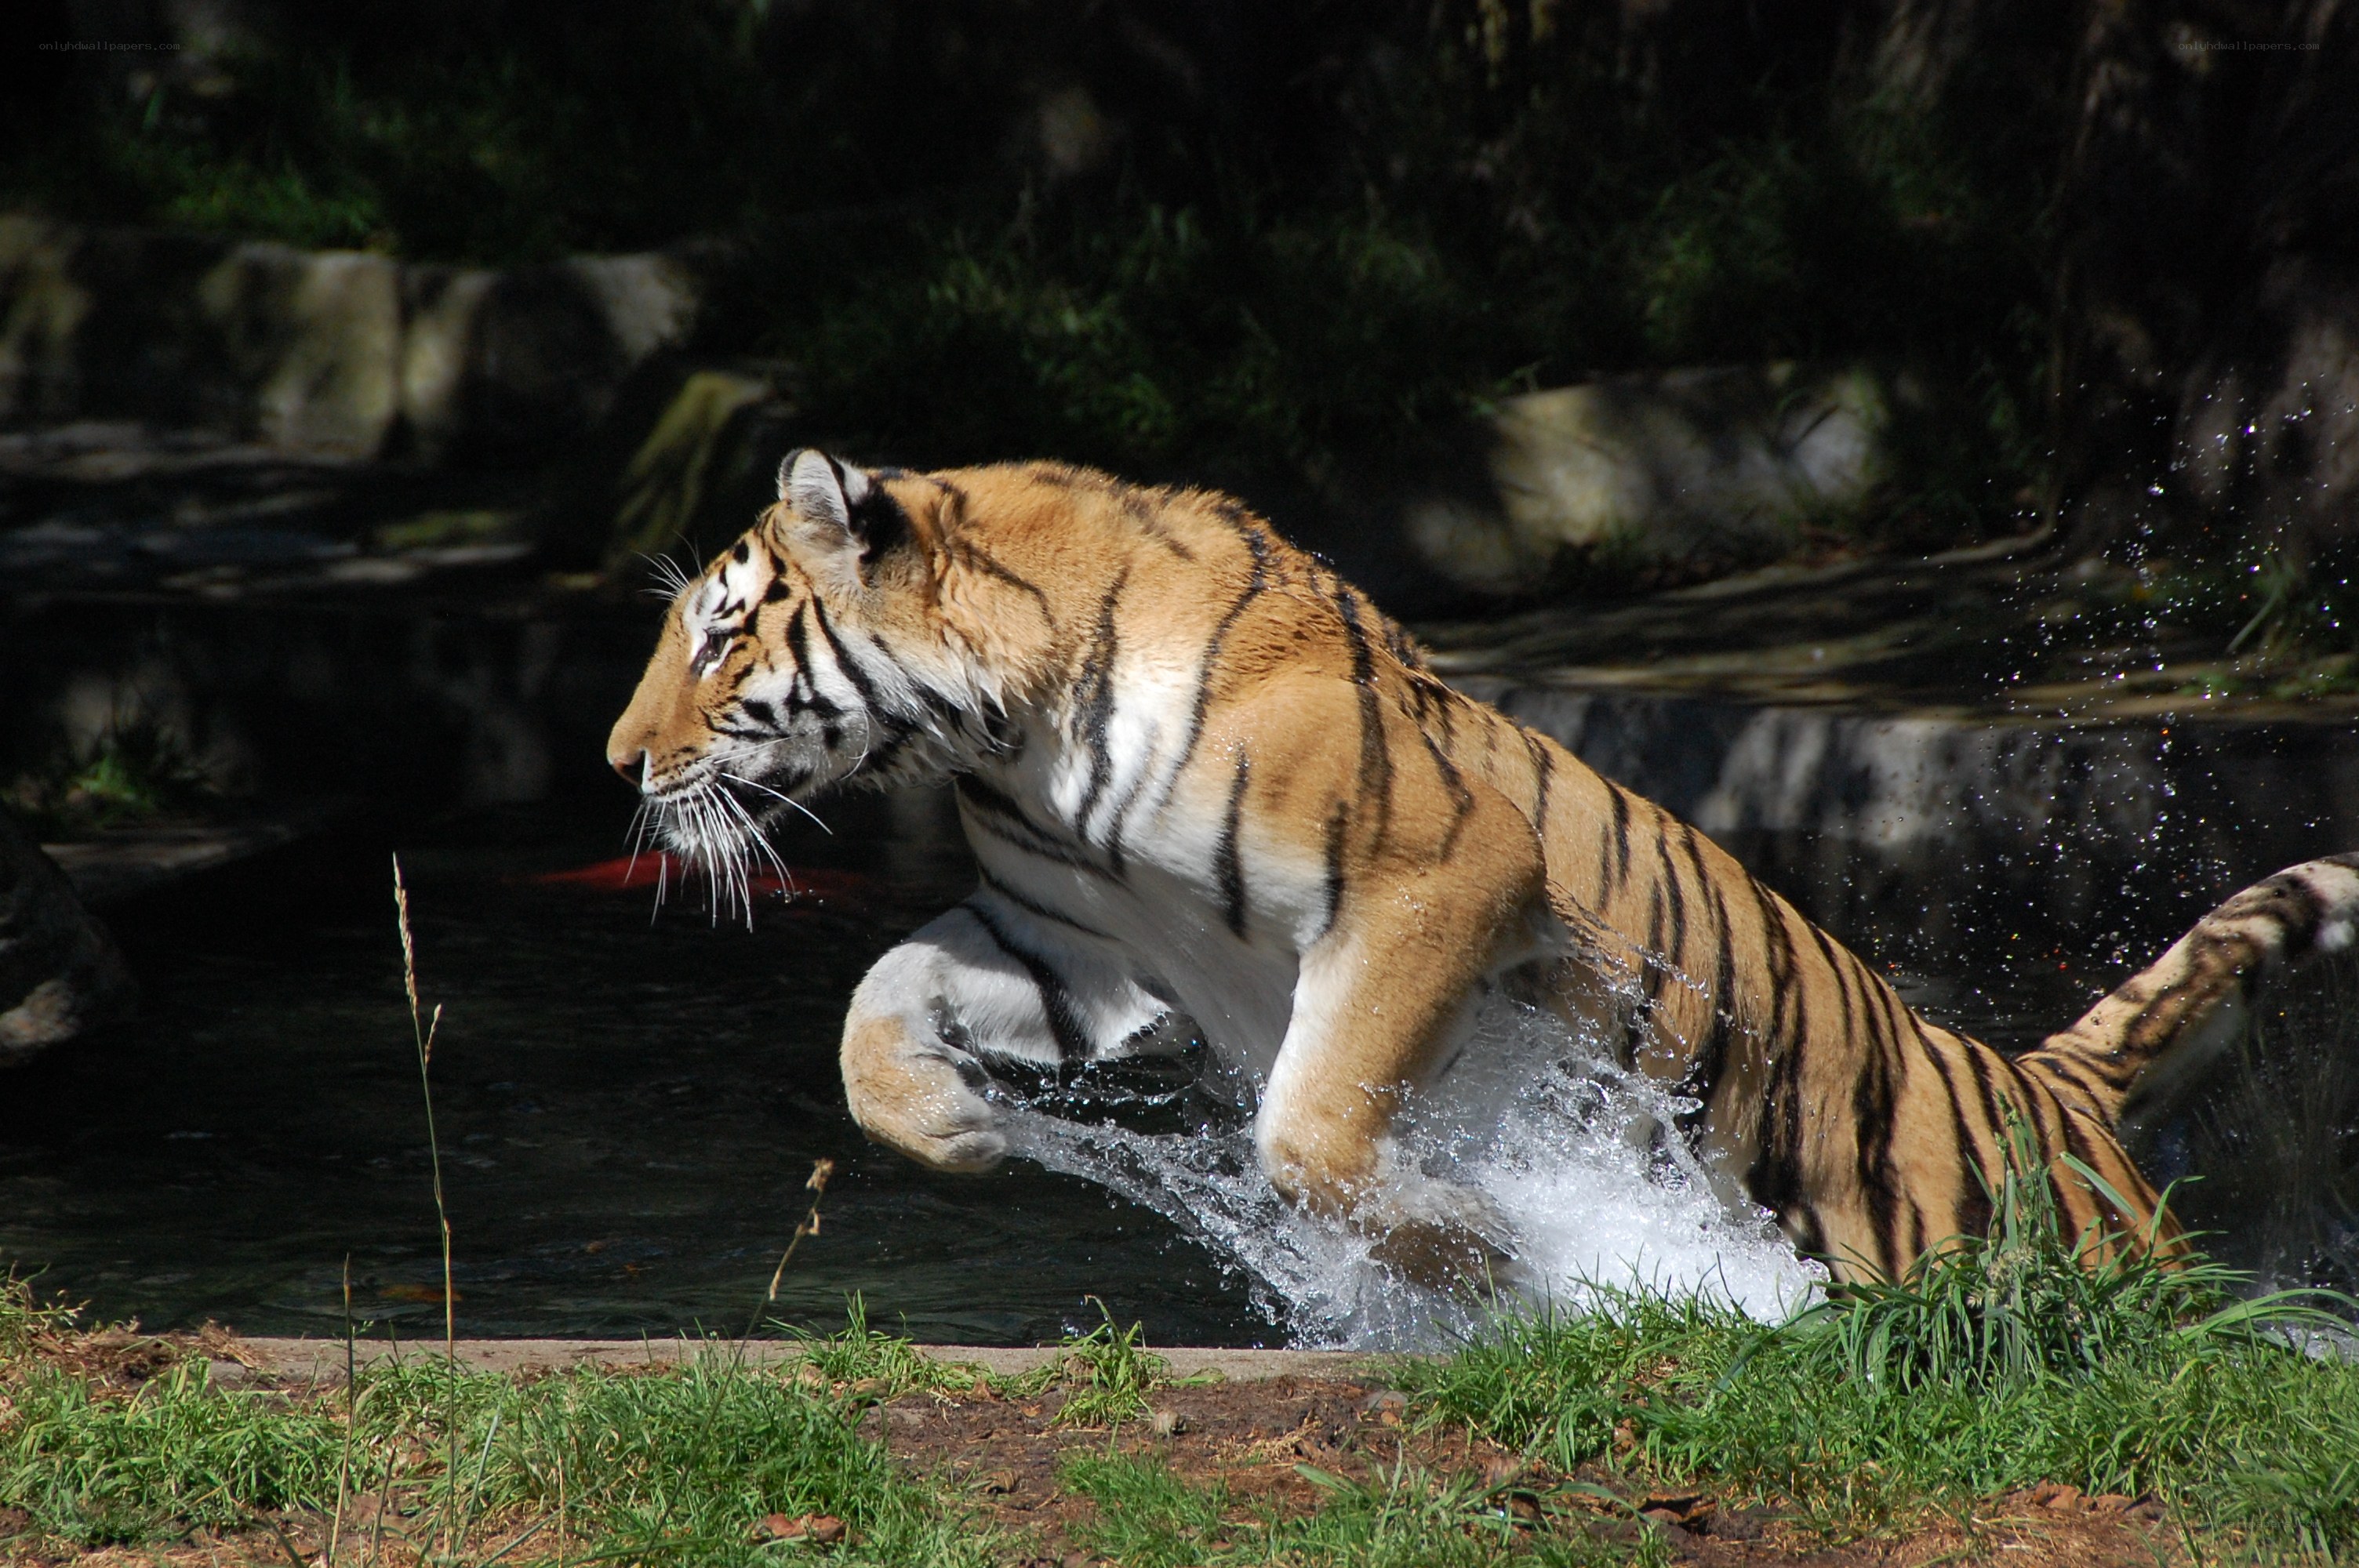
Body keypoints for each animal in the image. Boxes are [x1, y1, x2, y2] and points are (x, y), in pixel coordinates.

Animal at [606, 449, 2359, 1287]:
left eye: (719, 634)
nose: (620, 763)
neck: (1007, 731)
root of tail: (2046, 1083)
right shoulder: (1072, 939)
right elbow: (870, 1006)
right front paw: (958, 1128)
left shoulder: (1435, 881)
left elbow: (1311, 1130)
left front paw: (1488, 1257)